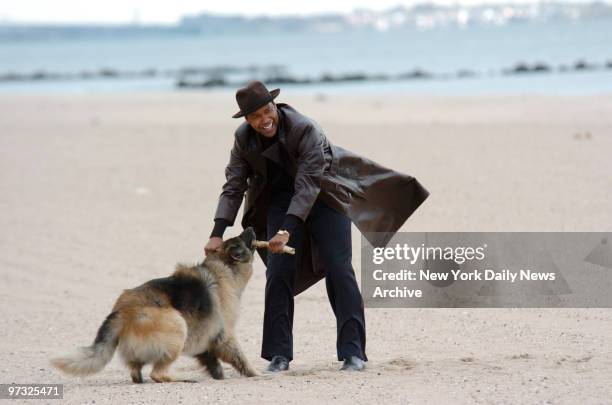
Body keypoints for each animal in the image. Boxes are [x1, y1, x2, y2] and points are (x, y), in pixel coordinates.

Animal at [49, 227, 256, 382]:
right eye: (240, 239)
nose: (251, 228)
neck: (224, 266)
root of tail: (122, 311)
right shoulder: (225, 334)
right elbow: (239, 357)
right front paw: (255, 374)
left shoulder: (206, 338)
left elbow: (212, 360)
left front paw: (219, 374)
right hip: (177, 328)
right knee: (157, 373)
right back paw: (179, 379)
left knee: (135, 371)